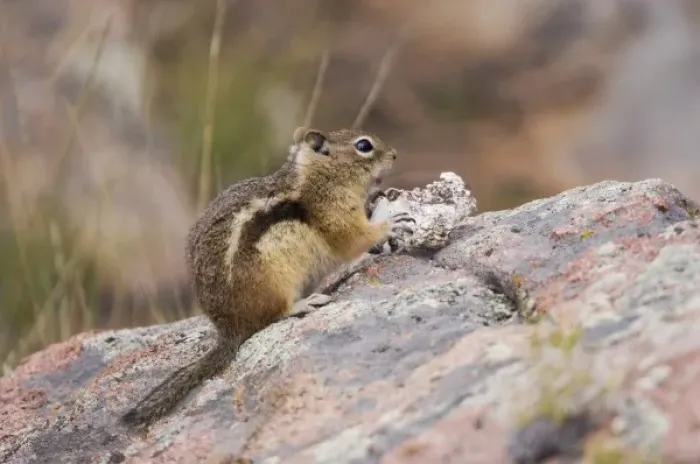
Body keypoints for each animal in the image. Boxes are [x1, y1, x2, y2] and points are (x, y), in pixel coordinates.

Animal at [120, 127, 415, 429]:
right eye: (364, 146)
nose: (395, 155)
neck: (320, 178)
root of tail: (230, 329)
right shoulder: (334, 216)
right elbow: (353, 239)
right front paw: (391, 224)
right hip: (275, 281)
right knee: (273, 316)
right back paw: (304, 303)